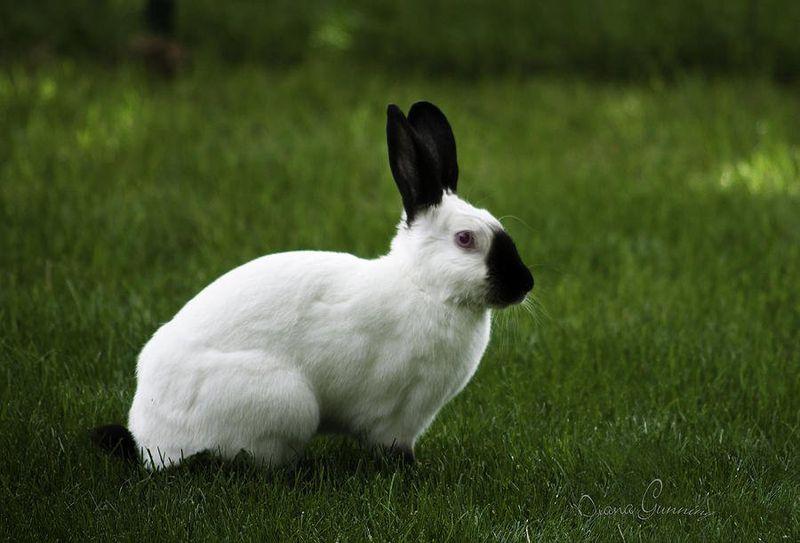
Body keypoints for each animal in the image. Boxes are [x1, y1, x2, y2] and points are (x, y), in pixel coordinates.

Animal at [90, 103, 536, 472]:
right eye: (465, 240)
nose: (525, 283)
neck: (423, 286)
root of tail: (148, 440)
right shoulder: (398, 413)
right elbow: (393, 446)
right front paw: (413, 472)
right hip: (289, 404)